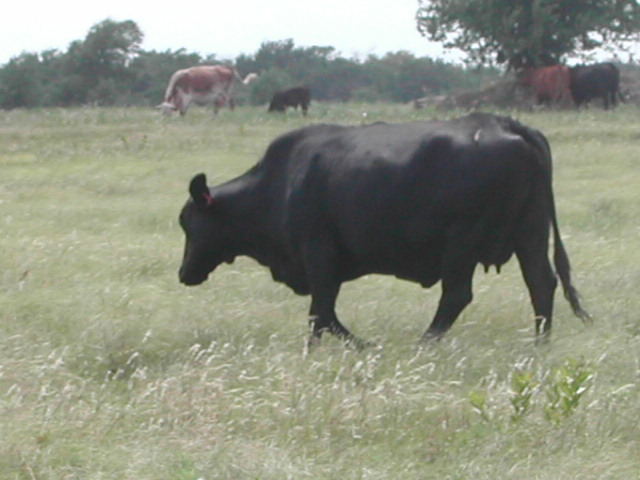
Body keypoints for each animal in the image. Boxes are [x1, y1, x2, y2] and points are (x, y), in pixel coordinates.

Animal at [179, 112, 592, 346]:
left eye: (190, 224)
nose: (184, 274)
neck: (280, 183)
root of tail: (507, 124)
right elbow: (325, 314)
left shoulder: (319, 256)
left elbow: (321, 314)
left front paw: (352, 346)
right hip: (530, 233)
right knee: (541, 283)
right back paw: (540, 346)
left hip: (462, 242)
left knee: (457, 295)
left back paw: (424, 343)